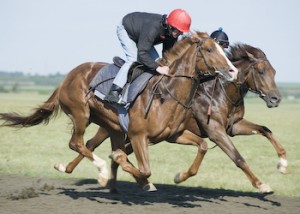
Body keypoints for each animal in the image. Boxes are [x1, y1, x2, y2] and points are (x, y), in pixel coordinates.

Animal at [0, 31, 238, 191]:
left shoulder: (173, 135)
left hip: (110, 125)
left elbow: (203, 146)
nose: (233, 70)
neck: (166, 93)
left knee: (88, 145)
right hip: (81, 114)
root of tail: (68, 76)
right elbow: (144, 167)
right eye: (209, 49)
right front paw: (127, 169)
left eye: (223, 49)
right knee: (77, 143)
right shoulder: (138, 135)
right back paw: (102, 172)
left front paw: (179, 176)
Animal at [56, 42, 284, 193]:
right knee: (89, 144)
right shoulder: (216, 130)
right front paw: (262, 185)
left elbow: (265, 130)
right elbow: (238, 158)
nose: (276, 98)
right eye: (261, 71)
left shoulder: (233, 126)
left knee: (115, 150)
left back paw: (113, 181)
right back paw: (80, 171)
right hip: (105, 125)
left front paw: (282, 162)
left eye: (274, 71)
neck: (219, 91)